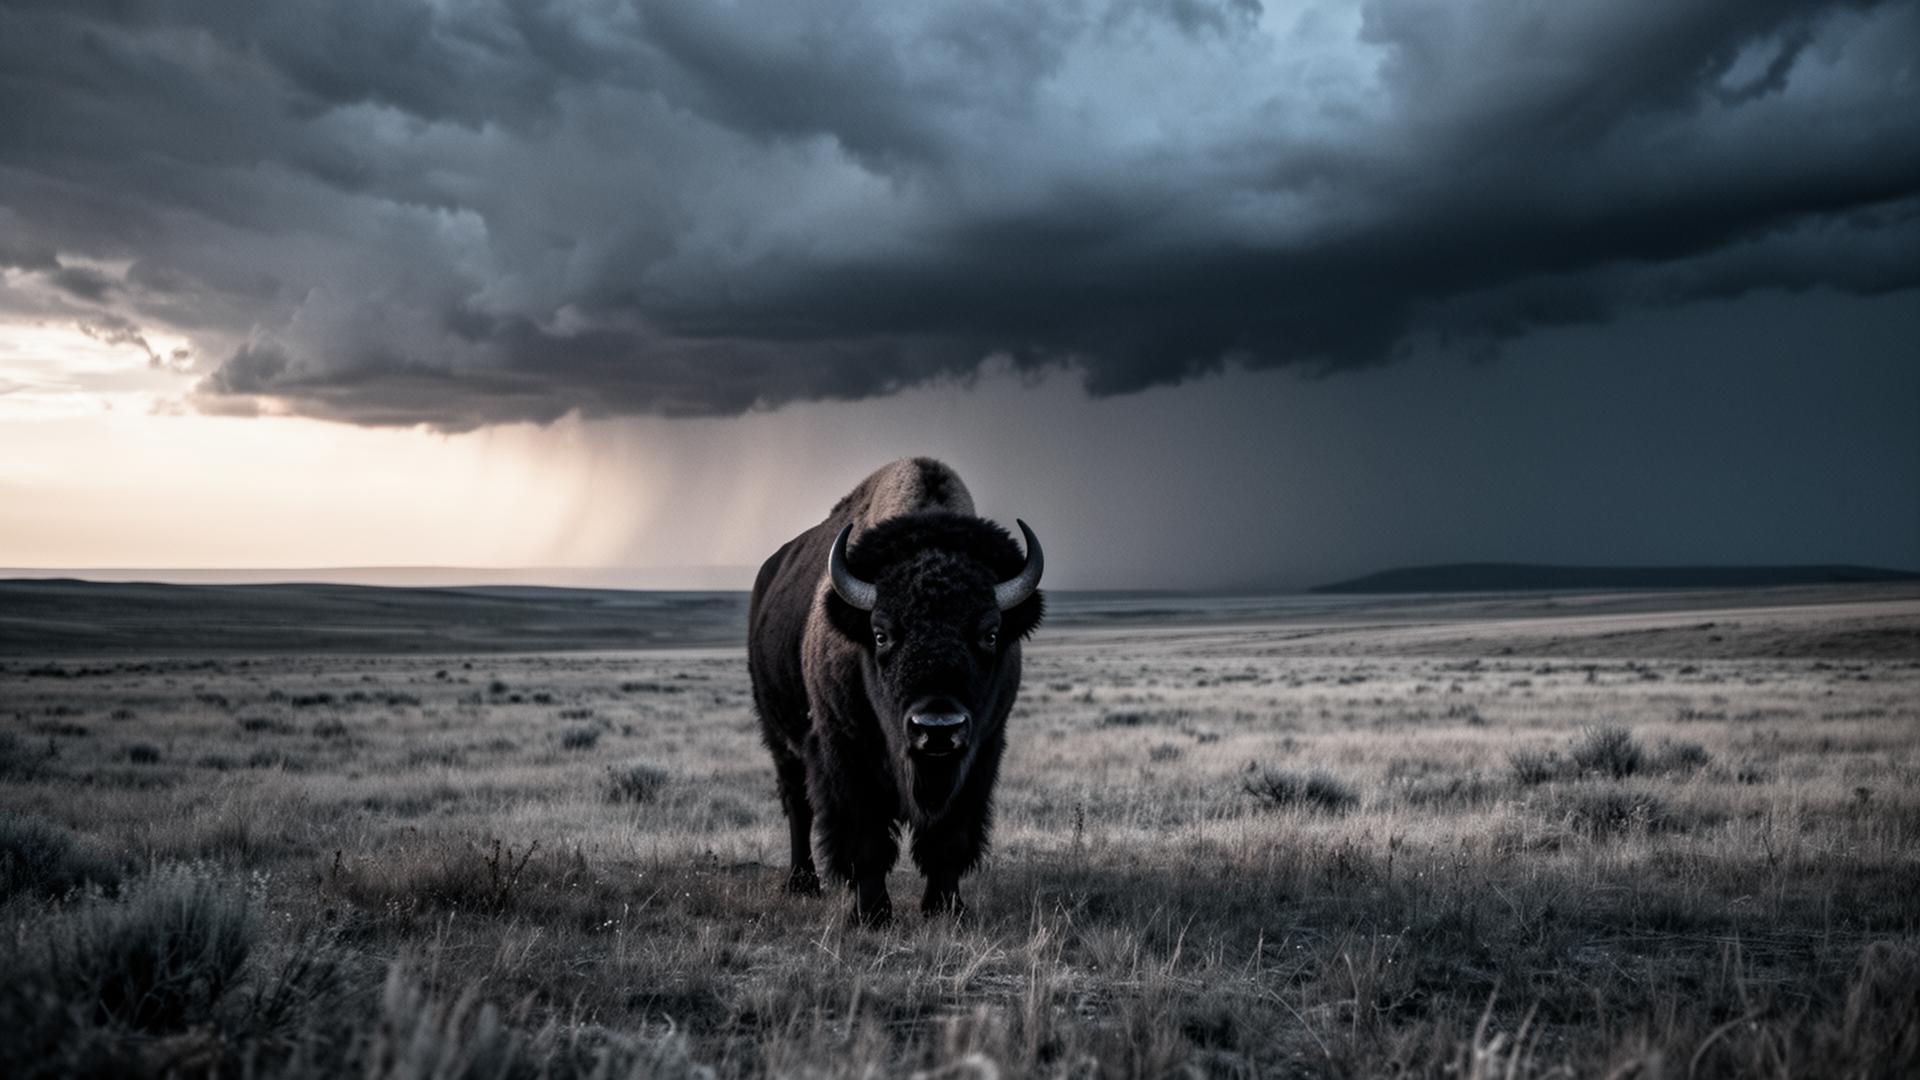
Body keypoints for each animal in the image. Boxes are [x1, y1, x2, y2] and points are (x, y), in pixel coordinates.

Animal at [748, 458, 1045, 925]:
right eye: (881, 633)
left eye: (991, 633)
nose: (937, 727)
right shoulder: (845, 753)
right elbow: (866, 839)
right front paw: (871, 914)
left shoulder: (982, 752)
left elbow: (950, 838)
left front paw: (946, 908)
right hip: (780, 738)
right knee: (798, 804)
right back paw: (802, 884)